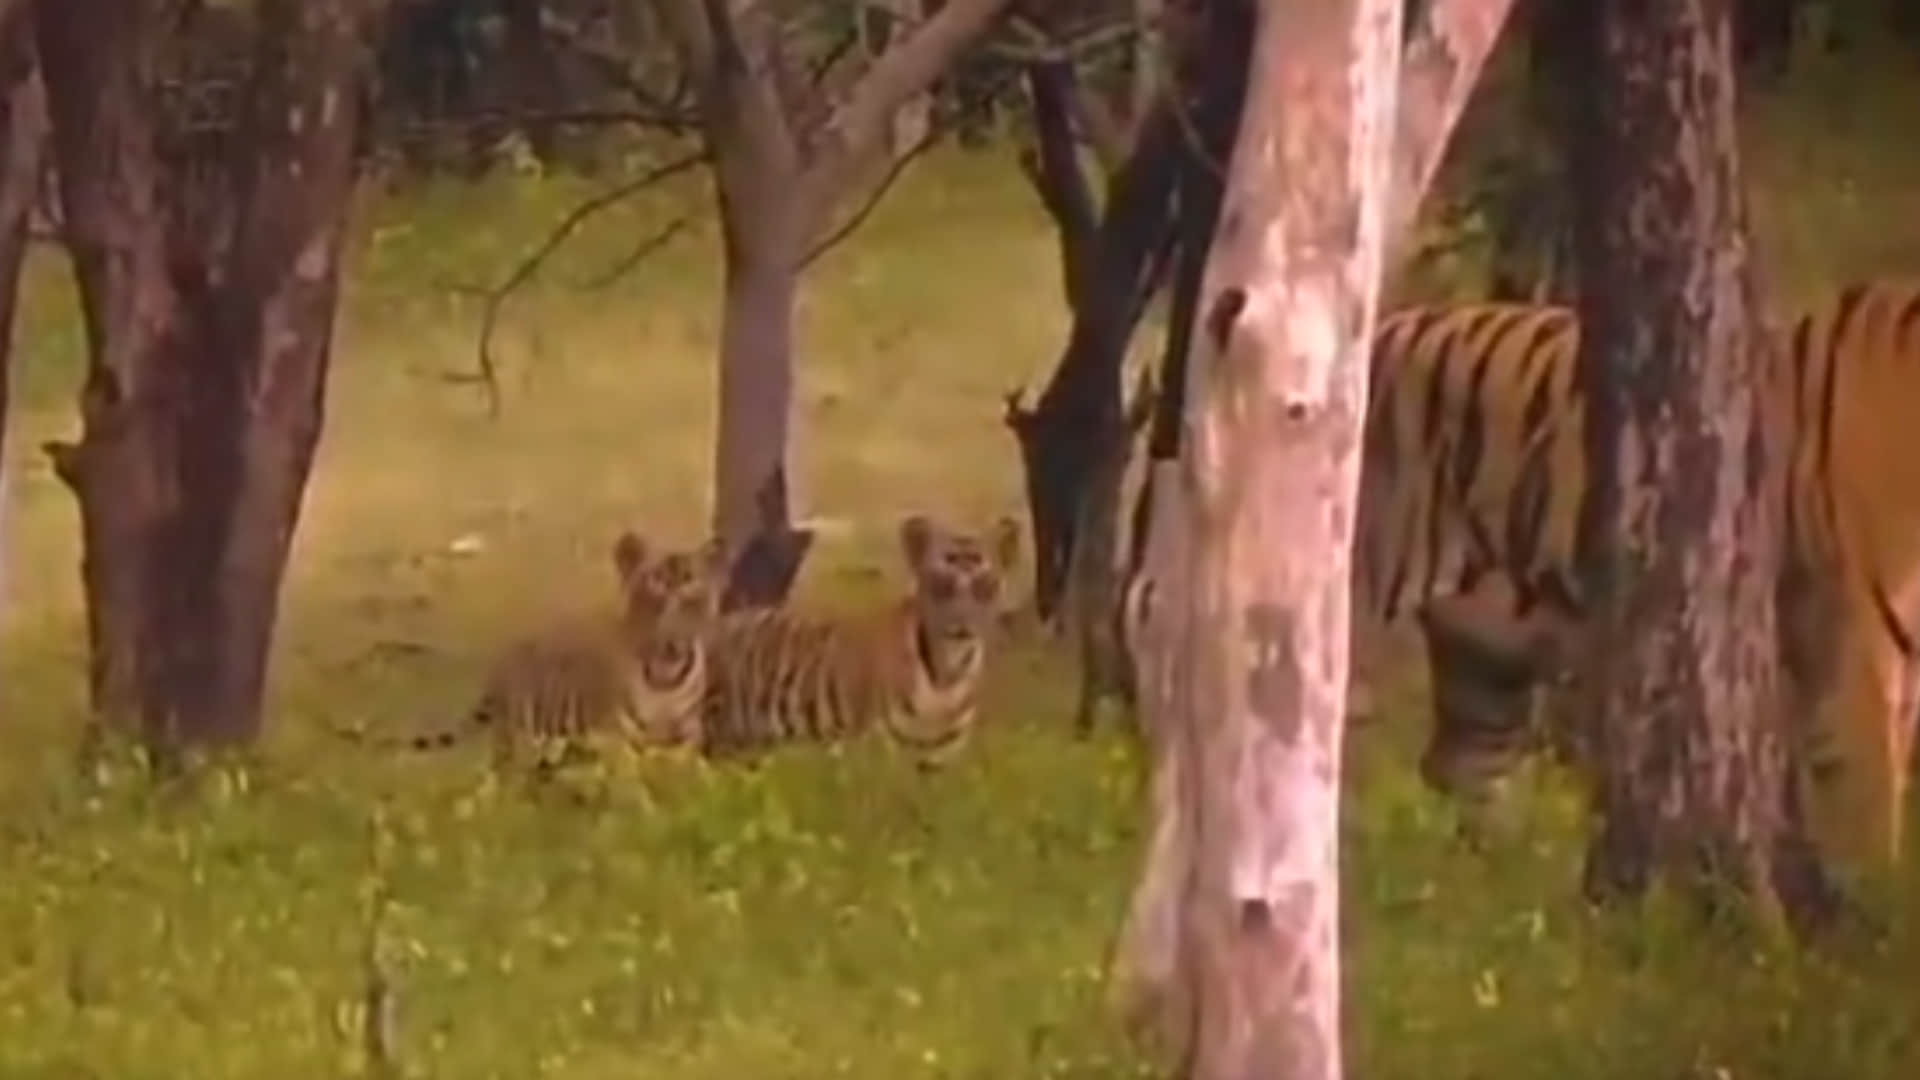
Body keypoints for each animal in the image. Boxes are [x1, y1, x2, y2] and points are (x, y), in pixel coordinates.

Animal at [331, 530, 726, 780]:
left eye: (689, 580)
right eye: (655, 581)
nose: (674, 602)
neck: (666, 667)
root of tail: (500, 664)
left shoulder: (688, 732)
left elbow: (687, 765)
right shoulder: (614, 736)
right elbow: (629, 776)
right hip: (519, 733)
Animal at [699, 513, 1021, 771]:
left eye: (984, 585)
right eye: (940, 584)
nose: (961, 624)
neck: (947, 672)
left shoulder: (939, 763)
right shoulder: (876, 753)